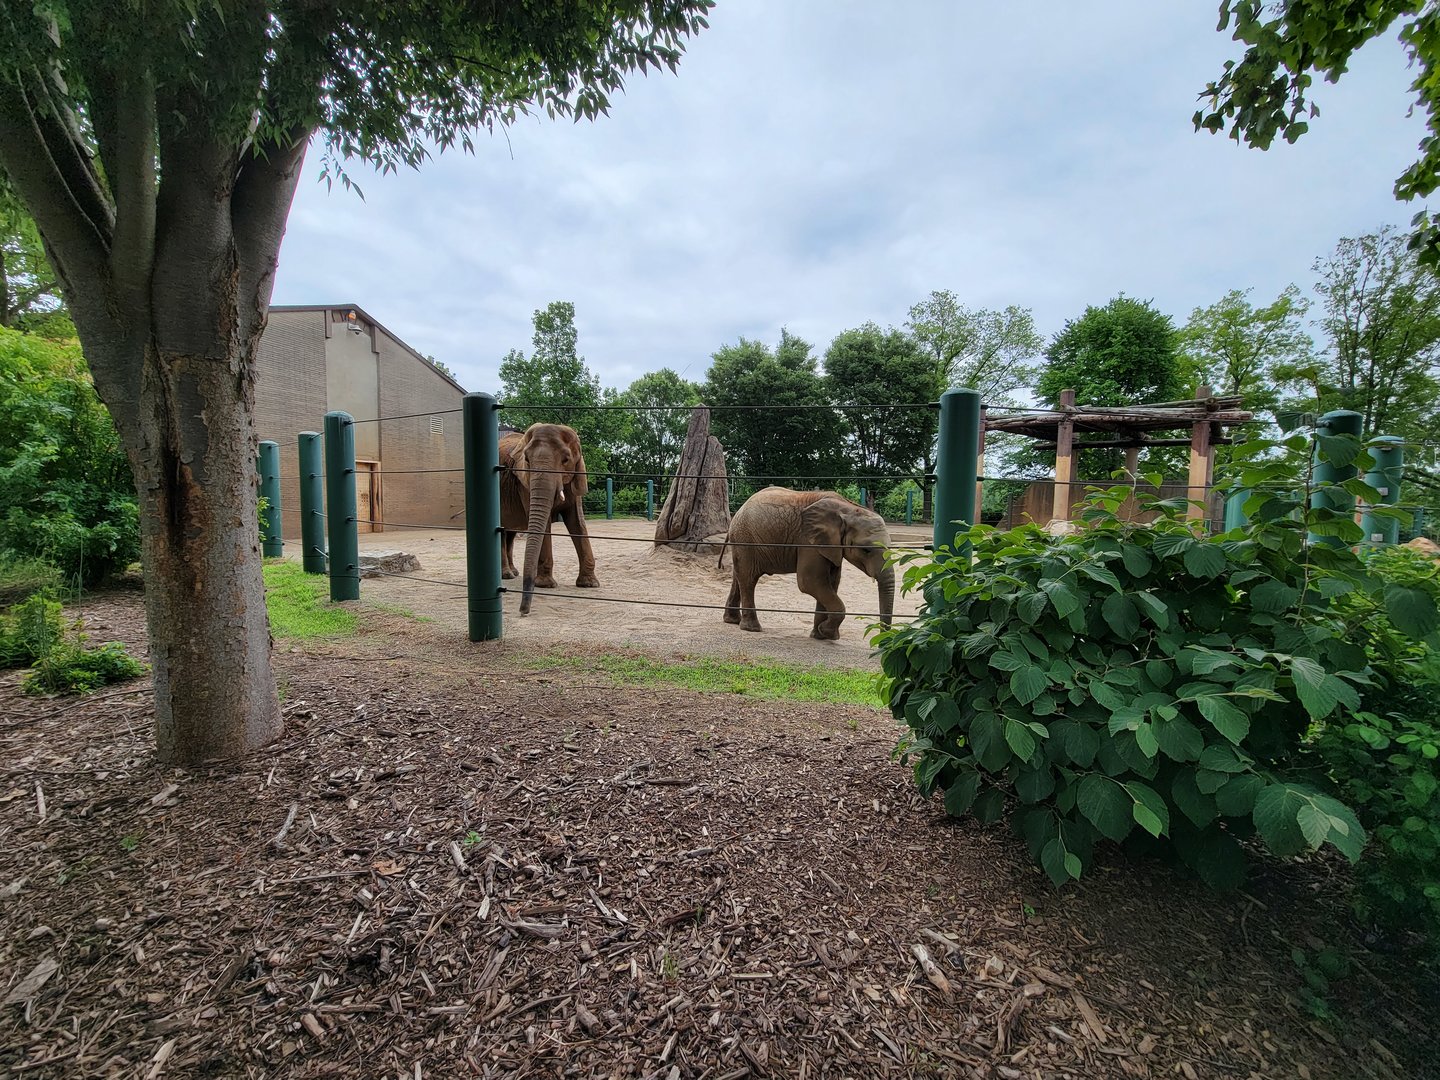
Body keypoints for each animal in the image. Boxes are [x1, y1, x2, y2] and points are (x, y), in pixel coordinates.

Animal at [498, 423, 599, 615]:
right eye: (527, 460)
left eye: (566, 460)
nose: (523, 611)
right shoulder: (525, 482)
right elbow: (544, 525)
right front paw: (546, 585)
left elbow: (577, 522)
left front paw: (590, 584)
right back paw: (506, 575)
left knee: (510, 533)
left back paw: (514, 573)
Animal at [722, 487, 894, 640]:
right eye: (866, 550)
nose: (883, 643)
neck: (849, 508)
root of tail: (737, 513)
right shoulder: (807, 540)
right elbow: (810, 582)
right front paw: (826, 632)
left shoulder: (830, 545)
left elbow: (831, 582)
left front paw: (821, 635)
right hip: (746, 540)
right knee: (748, 579)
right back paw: (752, 628)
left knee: (738, 577)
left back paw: (732, 621)